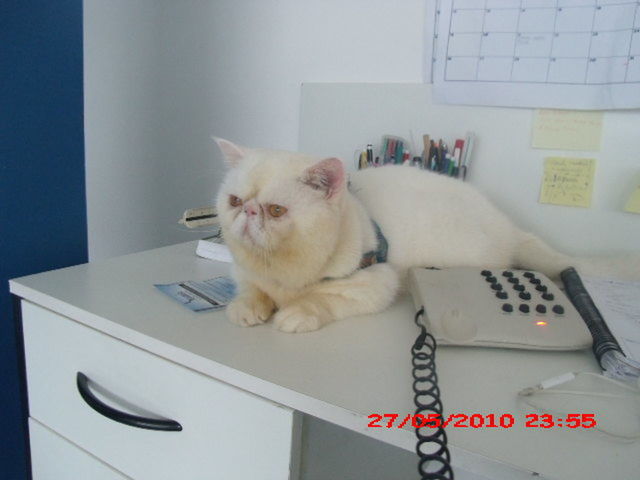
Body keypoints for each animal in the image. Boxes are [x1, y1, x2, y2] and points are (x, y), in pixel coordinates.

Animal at [216, 139, 640, 332]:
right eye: (235, 200)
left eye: (276, 211)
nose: (248, 211)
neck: (282, 273)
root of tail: (507, 224)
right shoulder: (245, 272)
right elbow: (251, 289)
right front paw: (247, 308)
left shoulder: (375, 283)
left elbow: (322, 298)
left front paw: (296, 313)